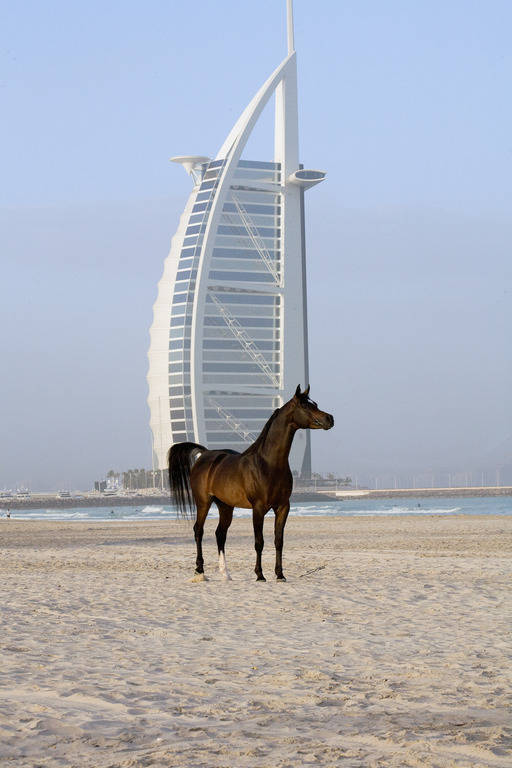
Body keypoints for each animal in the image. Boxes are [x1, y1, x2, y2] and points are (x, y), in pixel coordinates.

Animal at [168, 385, 334, 582]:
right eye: (305, 406)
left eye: (315, 404)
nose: (330, 419)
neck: (269, 464)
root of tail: (206, 454)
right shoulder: (258, 508)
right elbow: (259, 542)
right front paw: (260, 574)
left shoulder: (283, 507)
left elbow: (279, 541)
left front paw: (280, 575)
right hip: (203, 503)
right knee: (198, 531)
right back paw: (199, 570)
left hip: (225, 506)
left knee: (220, 534)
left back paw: (226, 574)